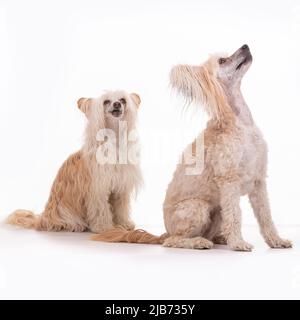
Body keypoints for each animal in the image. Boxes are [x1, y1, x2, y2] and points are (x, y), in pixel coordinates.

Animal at [6, 90, 142, 232]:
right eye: (106, 101)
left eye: (123, 100)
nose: (117, 104)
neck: (114, 139)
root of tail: (42, 219)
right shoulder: (97, 189)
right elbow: (101, 209)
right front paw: (104, 227)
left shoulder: (121, 189)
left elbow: (121, 208)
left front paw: (123, 223)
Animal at [94, 45, 292, 250]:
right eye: (222, 61)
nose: (245, 46)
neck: (240, 123)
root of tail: (165, 232)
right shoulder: (229, 182)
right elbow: (235, 214)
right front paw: (238, 243)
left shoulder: (259, 181)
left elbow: (266, 216)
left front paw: (276, 241)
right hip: (198, 207)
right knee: (174, 241)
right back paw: (199, 242)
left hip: (217, 210)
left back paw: (220, 238)